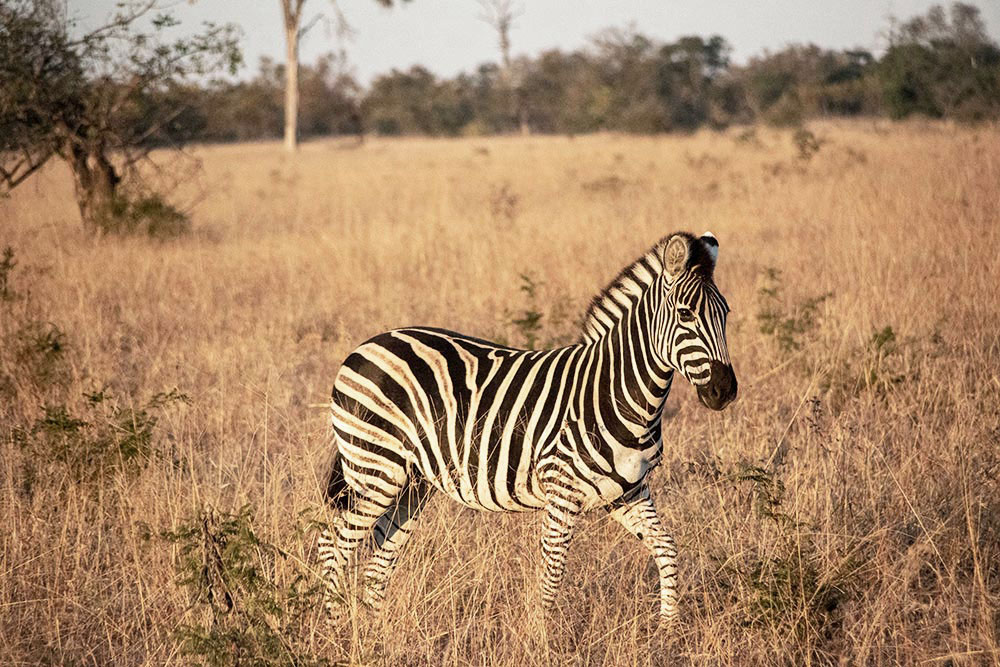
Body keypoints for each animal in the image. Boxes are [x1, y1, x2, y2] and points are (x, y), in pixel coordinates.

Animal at [317, 231, 737, 626]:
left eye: (726, 314)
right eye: (685, 314)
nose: (725, 391)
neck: (618, 391)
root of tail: (367, 345)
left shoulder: (628, 491)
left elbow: (667, 547)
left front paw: (668, 629)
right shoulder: (562, 491)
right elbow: (551, 576)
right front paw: (542, 638)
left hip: (412, 483)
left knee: (376, 561)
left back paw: (375, 631)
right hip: (375, 470)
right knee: (332, 541)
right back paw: (334, 627)